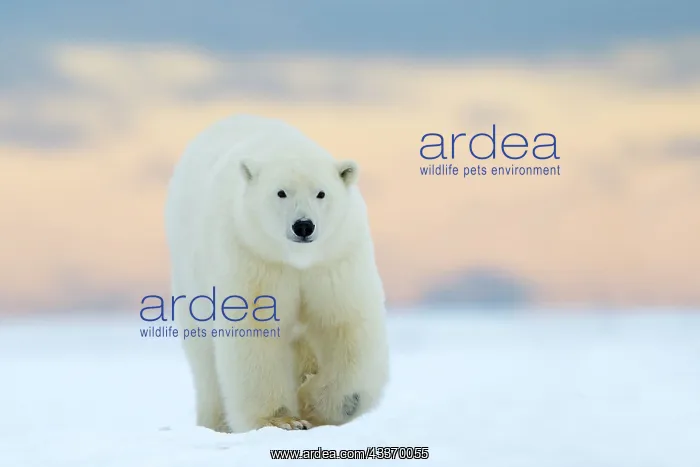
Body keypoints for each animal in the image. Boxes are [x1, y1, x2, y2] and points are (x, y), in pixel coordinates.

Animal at [164, 114, 390, 433]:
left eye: (321, 192)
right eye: (281, 192)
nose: (303, 226)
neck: (296, 260)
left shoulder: (334, 259)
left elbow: (346, 325)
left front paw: (313, 403)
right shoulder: (252, 255)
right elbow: (255, 332)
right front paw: (284, 420)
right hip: (190, 274)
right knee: (204, 359)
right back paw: (216, 423)